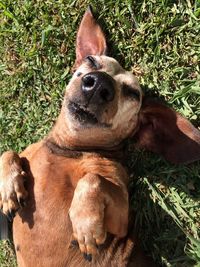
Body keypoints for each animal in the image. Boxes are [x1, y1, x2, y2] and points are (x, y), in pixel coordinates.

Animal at [0, 6, 200, 267]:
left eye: (133, 93)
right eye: (91, 60)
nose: (98, 84)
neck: (70, 150)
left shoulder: (122, 218)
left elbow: (92, 178)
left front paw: (85, 226)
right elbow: (8, 151)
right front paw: (10, 188)